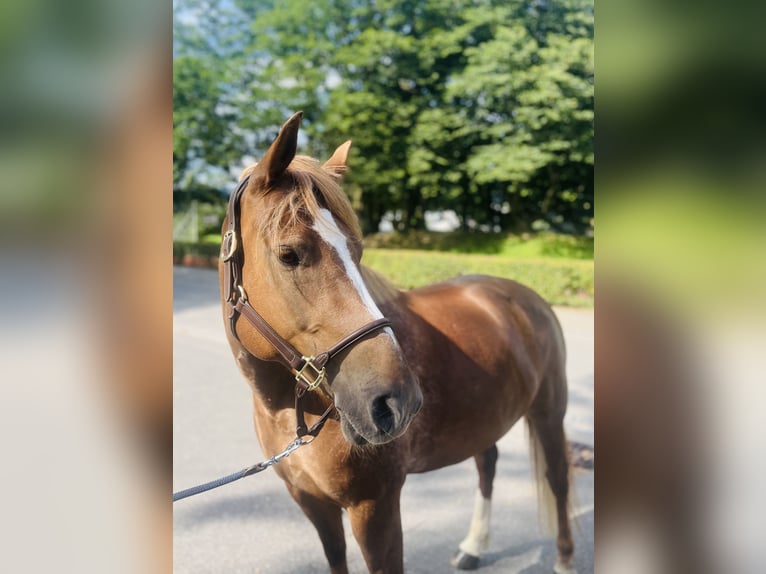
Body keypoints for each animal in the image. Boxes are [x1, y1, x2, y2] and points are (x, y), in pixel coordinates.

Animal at [219, 113, 572, 574]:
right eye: (289, 254)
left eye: (358, 251)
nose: (396, 401)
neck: (289, 410)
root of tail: (527, 297)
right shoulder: (314, 505)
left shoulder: (376, 507)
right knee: (488, 465)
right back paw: (474, 545)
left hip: (549, 413)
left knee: (558, 480)